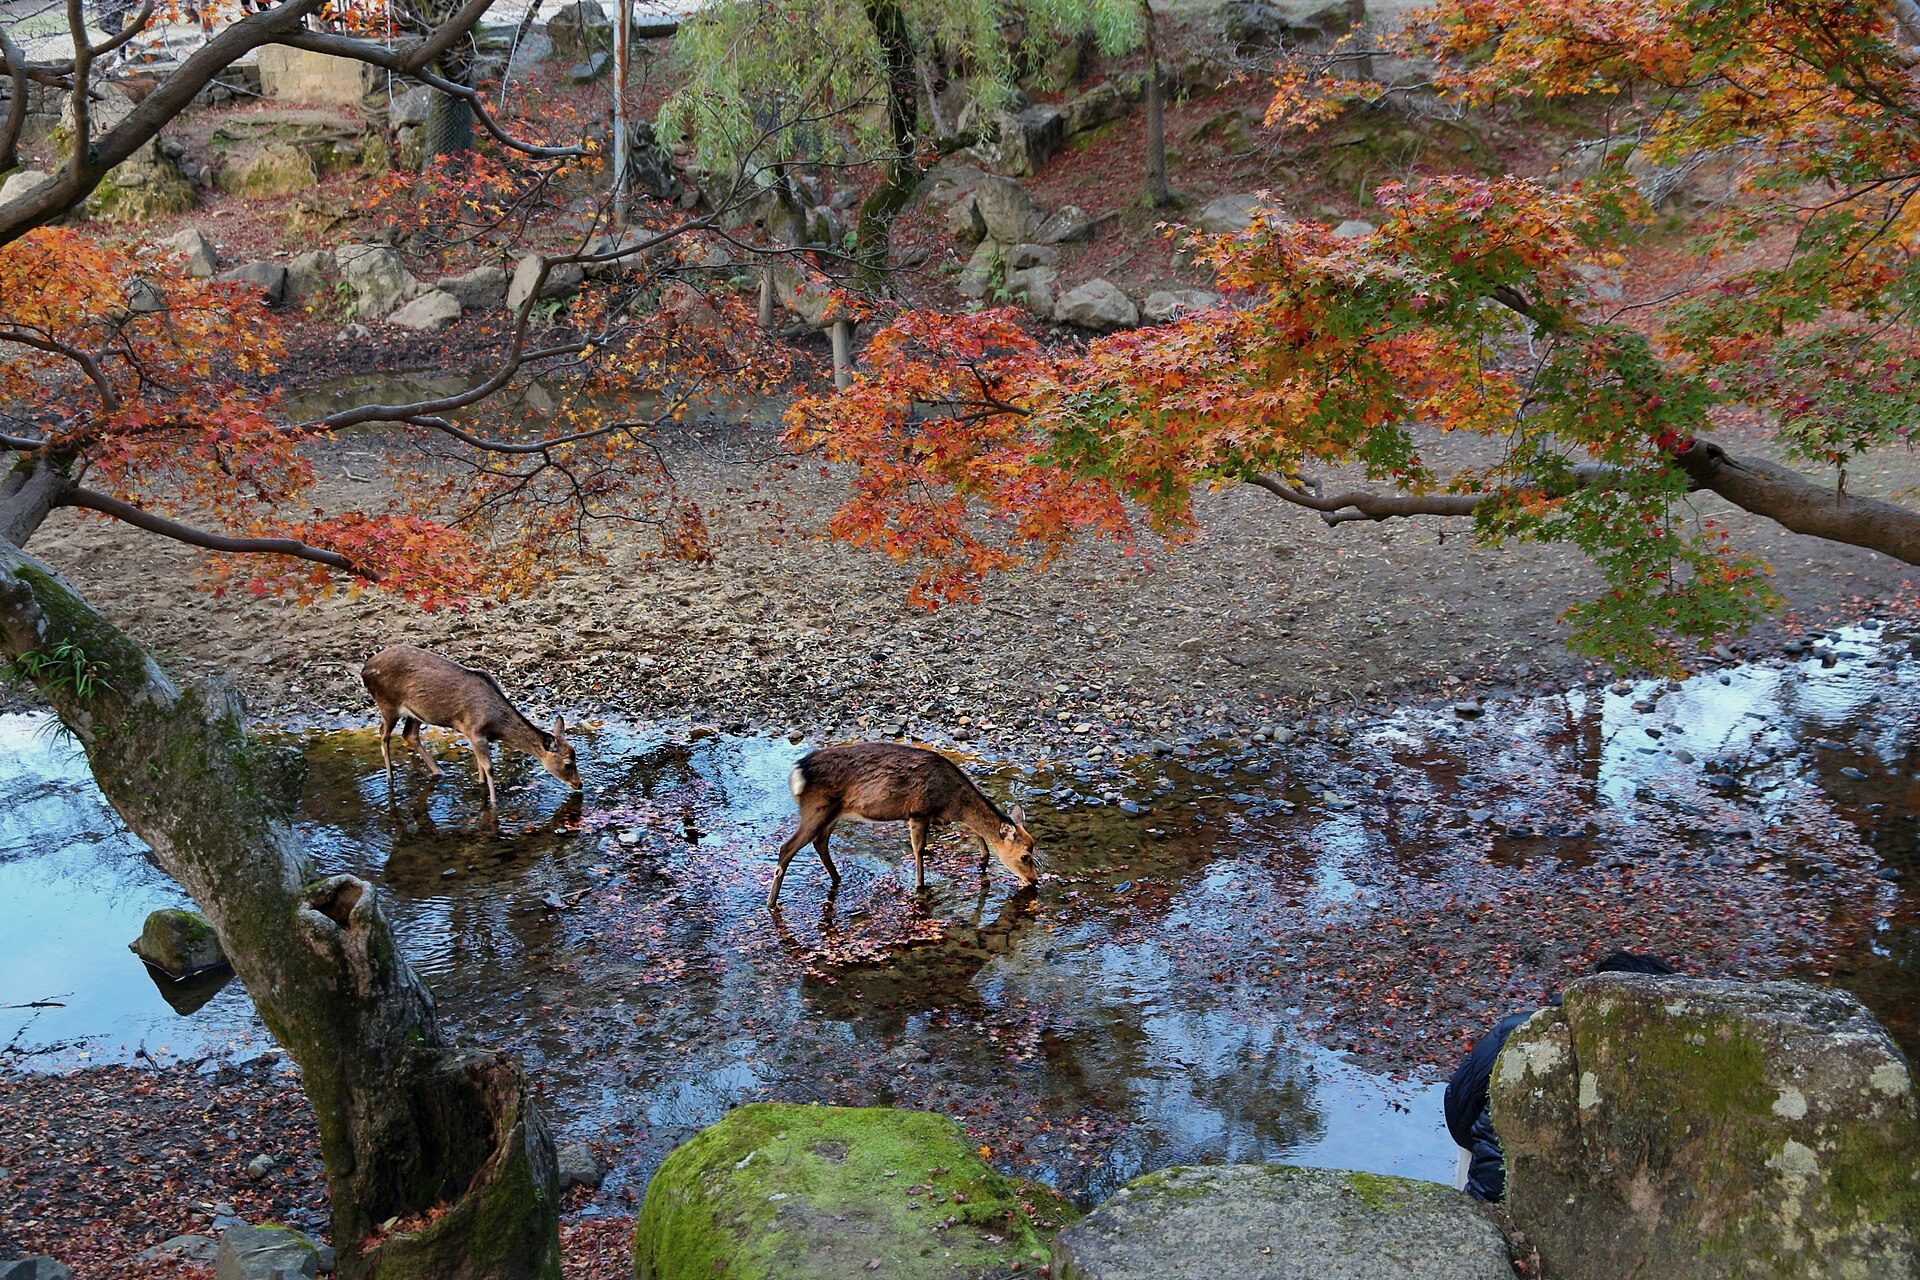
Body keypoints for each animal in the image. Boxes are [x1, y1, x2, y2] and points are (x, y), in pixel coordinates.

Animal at [360, 644, 581, 807]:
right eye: (567, 764)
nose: (579, 784)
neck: (496, 726)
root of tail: (364, 669)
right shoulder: (475, 731)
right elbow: (489, 768)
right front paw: (493, 804)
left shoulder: (474, 735)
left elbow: (480, 766)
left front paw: (481, 788)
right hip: (387, 703)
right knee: (383, 734)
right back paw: (390, 779)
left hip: (416, 711)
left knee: (410, 735)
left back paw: (439, 772)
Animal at [769, 741, 1039, 909]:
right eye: (1025, 856)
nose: (1034, 881)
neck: (950, 800)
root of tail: (797, 772)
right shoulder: (919, 812)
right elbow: (919, 851)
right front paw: (920, 886)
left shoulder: (942, 816)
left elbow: (972, 830)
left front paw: (982, 861)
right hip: (816, 808)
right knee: (787, 848)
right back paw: (771, 903)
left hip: (833, 813)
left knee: (820, 842)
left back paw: (837, 878)